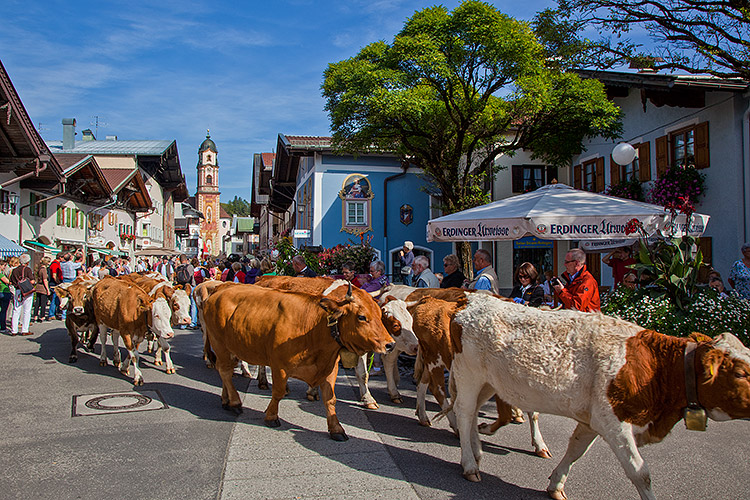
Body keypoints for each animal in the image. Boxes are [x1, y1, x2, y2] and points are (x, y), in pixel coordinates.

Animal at [201, 281, 394, 441]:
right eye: (361, 317)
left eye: (380, 314)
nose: (390, 344)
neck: (312, 327)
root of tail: (222, 287)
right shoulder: (279, 366)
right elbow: (278, 393)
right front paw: (271, 416)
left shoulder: (330, 367)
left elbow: (330, 398)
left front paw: (336, 429)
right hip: (219, 343)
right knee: (225, 372)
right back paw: (235, 402)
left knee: (224, 371)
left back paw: (225, 400)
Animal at [255, 275, 419, 408]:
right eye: (396, 324)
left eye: (410, 322)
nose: (416, 347)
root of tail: (263, 278)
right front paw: (312, 391)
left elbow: (363, 374)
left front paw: (368, 398)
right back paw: (263, 381)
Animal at [448, 292, 750, 500]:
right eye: (740, 373)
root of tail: (471, 302)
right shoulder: (614, 421)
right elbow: (640, 472)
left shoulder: (593, 419)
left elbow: (576, 450)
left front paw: (556, 484)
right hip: (469, 375)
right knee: (464, 413)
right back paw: (469, 465)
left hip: (488, 382)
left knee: (471, 414)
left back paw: (477, 451)